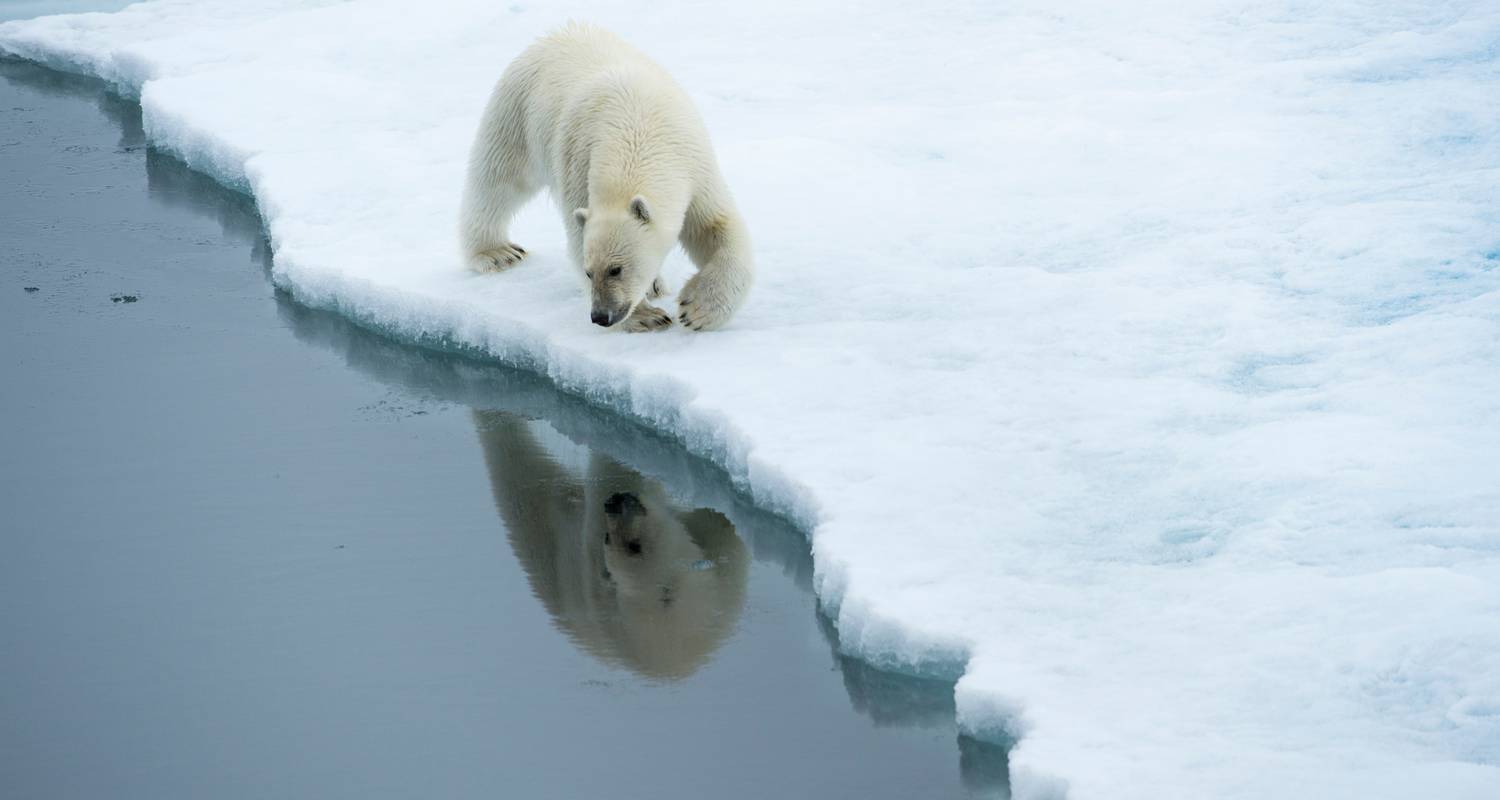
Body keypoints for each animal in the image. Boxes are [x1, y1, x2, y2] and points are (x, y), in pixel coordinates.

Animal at [456, 22, 756, 330]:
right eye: (589, 272)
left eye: (616, 269)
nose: (601, 316)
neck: (636, 131)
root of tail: (558, 33)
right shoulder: (579, 165)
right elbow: (578, 235)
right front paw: (646, 316)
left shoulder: (694, 166)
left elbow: (716, 226)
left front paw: (697, 309)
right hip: (517, 109)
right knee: (500, 179)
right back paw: (497, 253)